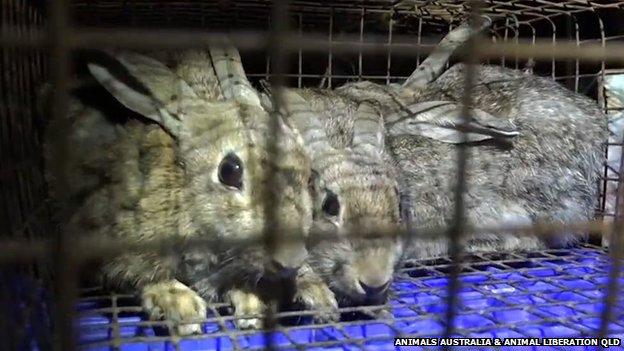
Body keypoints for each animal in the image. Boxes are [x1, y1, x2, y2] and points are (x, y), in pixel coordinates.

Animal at [43, 48, 314, 334]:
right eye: (229, 171)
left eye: (308, 172)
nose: (291, 260)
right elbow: (144, 279)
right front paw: (182, 308)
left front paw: (254, 307)